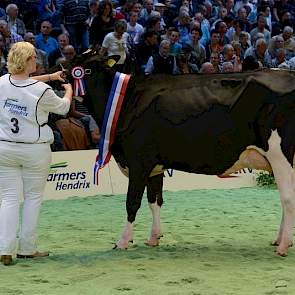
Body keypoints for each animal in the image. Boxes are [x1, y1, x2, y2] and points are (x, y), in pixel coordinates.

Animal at [59, 52, 295, 256]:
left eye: (85, 68)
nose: (60, 72)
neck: (126, 100)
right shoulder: (154, 166)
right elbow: (155, 200)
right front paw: (153, 238)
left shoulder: (139, 161)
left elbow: (132, 202)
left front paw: (123, 241)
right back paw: (280, 240)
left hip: (280, 156)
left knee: (287, 198)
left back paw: (283, 245)